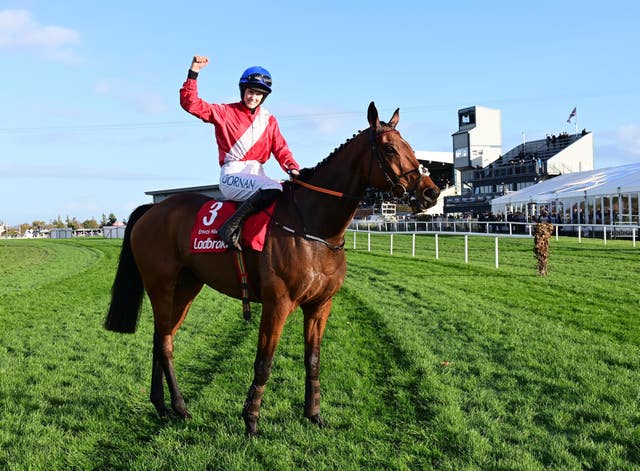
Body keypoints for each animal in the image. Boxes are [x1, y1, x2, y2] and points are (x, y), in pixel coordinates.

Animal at [105, 101, 442, 436]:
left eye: (411, 147)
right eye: (389, 149)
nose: (431, 192)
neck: (313, 226)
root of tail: (153, 209)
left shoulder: (320, 305)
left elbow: (313, 359)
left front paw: (314, 415)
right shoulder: (278, 302)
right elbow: (264, 362)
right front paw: (251, 420)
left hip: (187, 287)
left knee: (161, 339)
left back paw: (161, 405)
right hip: (160, 284)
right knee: (164, 344)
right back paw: (180, 407)